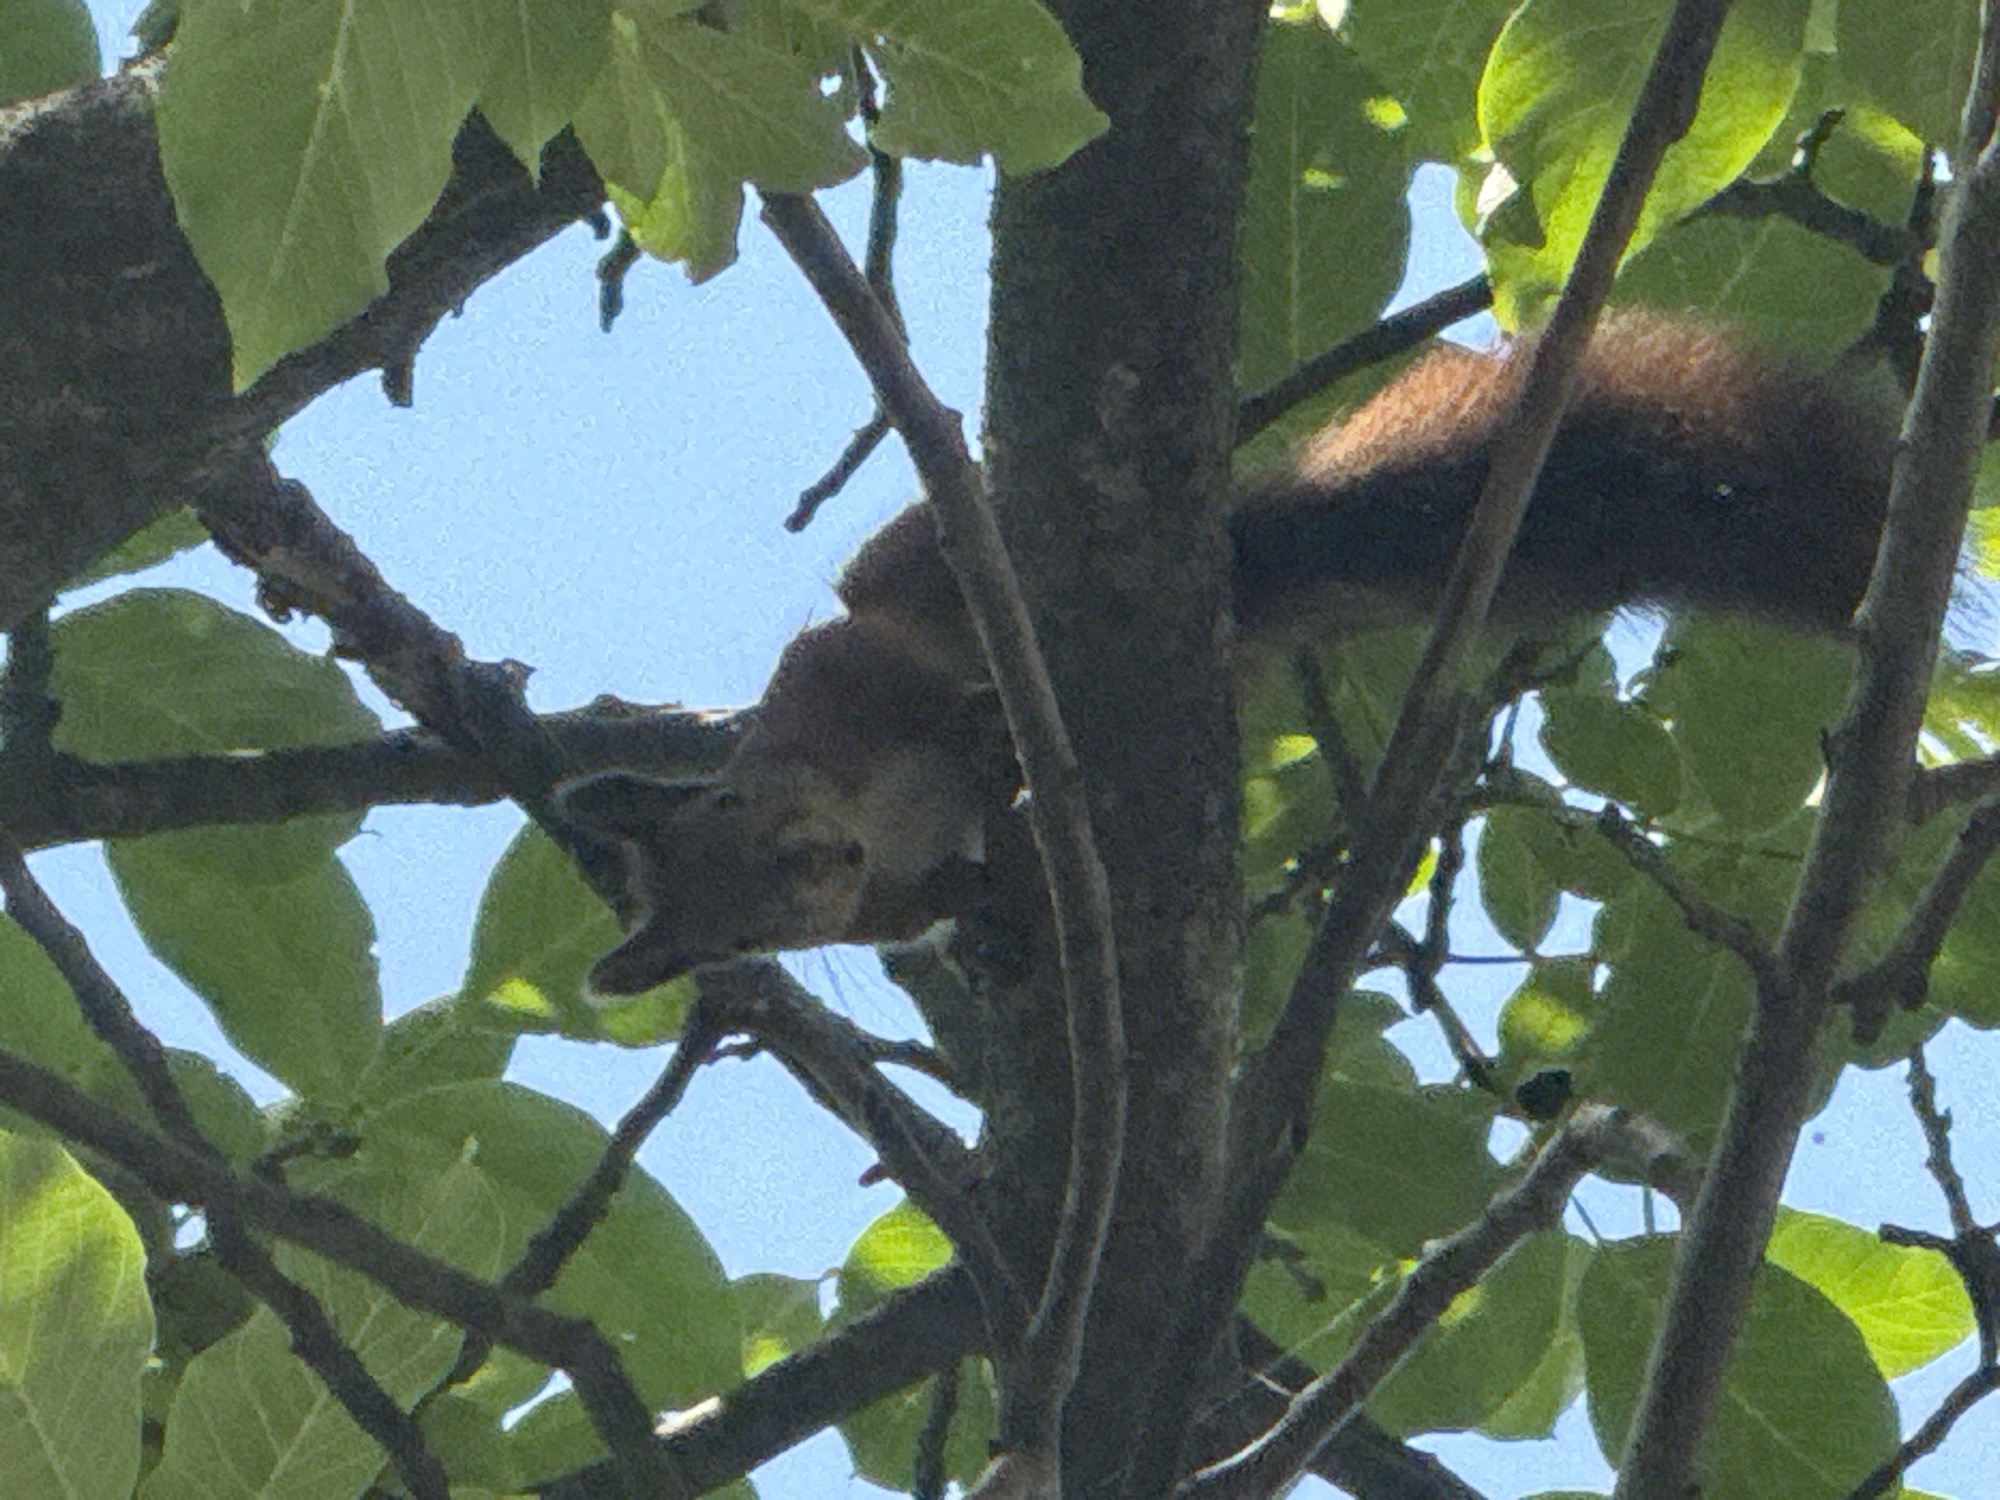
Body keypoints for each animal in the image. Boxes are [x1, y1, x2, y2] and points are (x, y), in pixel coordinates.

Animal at [557, 314, 1899, 994]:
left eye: (731, 801)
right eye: (733, 947)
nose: (823, 859)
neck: (874, 819)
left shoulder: (840, 684)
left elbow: (905, 681)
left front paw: (983, 731)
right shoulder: (880, 900)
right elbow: (923, 912)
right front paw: (976, 921)